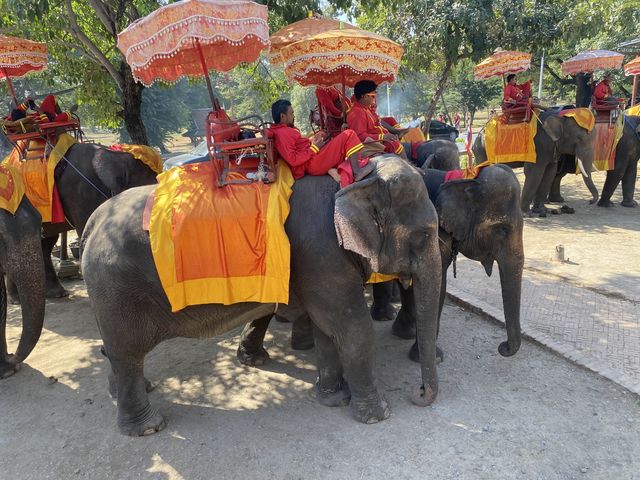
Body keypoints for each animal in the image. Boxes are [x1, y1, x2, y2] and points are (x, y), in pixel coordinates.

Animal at [81, 156, 444, 436]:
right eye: (424, 234)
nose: (418, 393)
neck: (353, 178)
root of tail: (94, 220)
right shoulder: (321, 252)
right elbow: (353, 329)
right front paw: (378, 415)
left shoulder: (316, 263)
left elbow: (327, 329)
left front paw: (331, 398)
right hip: (115, 287)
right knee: (127, 351)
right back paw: (148, 427)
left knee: (117, 352)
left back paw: (133, 391)